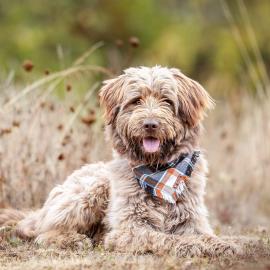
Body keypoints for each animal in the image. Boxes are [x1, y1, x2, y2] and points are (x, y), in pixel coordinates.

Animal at [0, 66, 238, 256]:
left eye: (167, 101)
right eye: (136, 101)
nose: (150, 124)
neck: (159, 171)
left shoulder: (191, 219)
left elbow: (205, 235)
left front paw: (221, 244)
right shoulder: (129, 229)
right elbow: (163, 237)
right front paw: (188, 245)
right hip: (89, 191)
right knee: (43, 233)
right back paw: (74, 239)